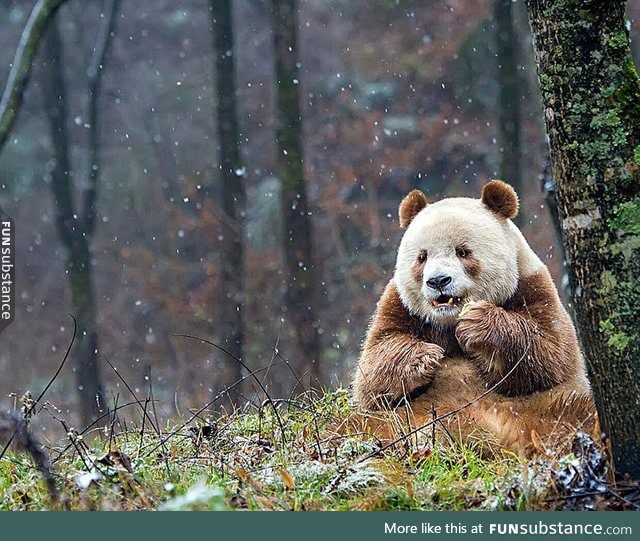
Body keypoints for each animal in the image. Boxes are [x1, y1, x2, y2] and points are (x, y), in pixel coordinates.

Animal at [350, 180, 596, 456]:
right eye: (422, 257)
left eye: (463, 252)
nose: (438, 281)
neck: (448, 321)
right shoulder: (399, 304)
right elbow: (373, 370)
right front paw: (425, 357)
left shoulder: (532, 286)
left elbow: (548, 352)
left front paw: (478, 325)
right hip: (397, 418)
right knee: (353, 425)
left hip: (544, 407)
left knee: (578, 414)